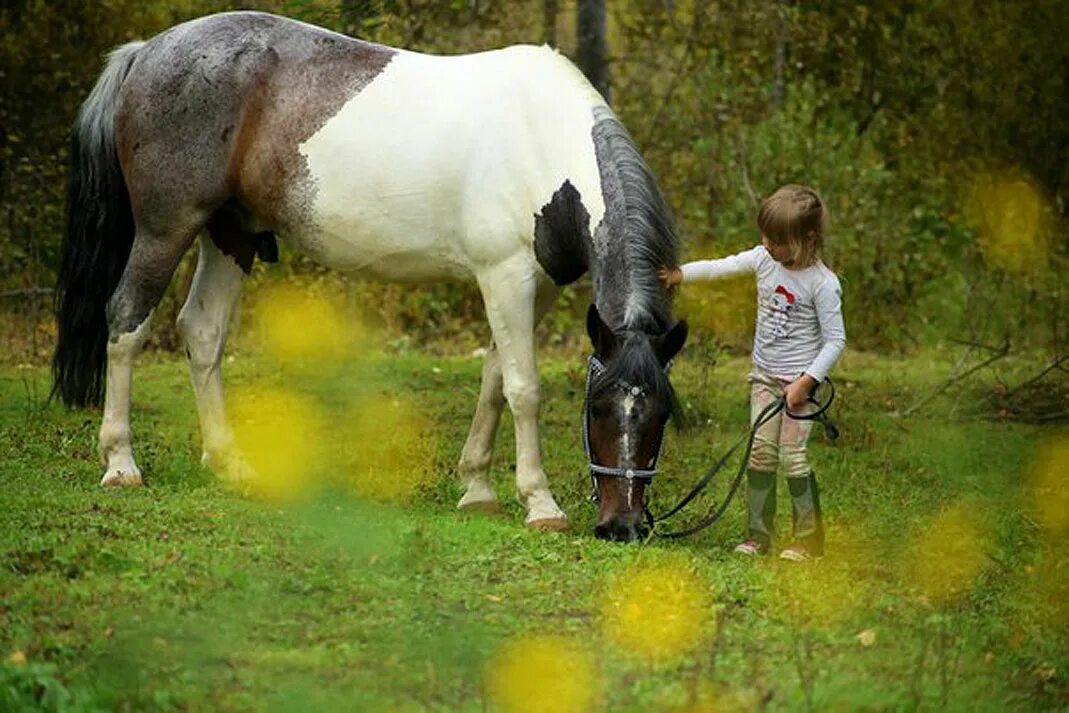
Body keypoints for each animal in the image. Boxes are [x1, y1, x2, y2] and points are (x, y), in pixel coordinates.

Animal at [52, 11, 684, 540]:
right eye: (598, 409)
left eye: (660, 414)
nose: (623, 527)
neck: (541, 140)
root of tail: (146, 51)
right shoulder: (503, 277)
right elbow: (523, 388)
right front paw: (540, 503)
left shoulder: (539, 287)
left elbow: (494, 379)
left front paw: (476, 488)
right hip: (167, 228)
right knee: (126, 320)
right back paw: (121, 463)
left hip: (231, 234)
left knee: (202, 331)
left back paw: (232, 464)